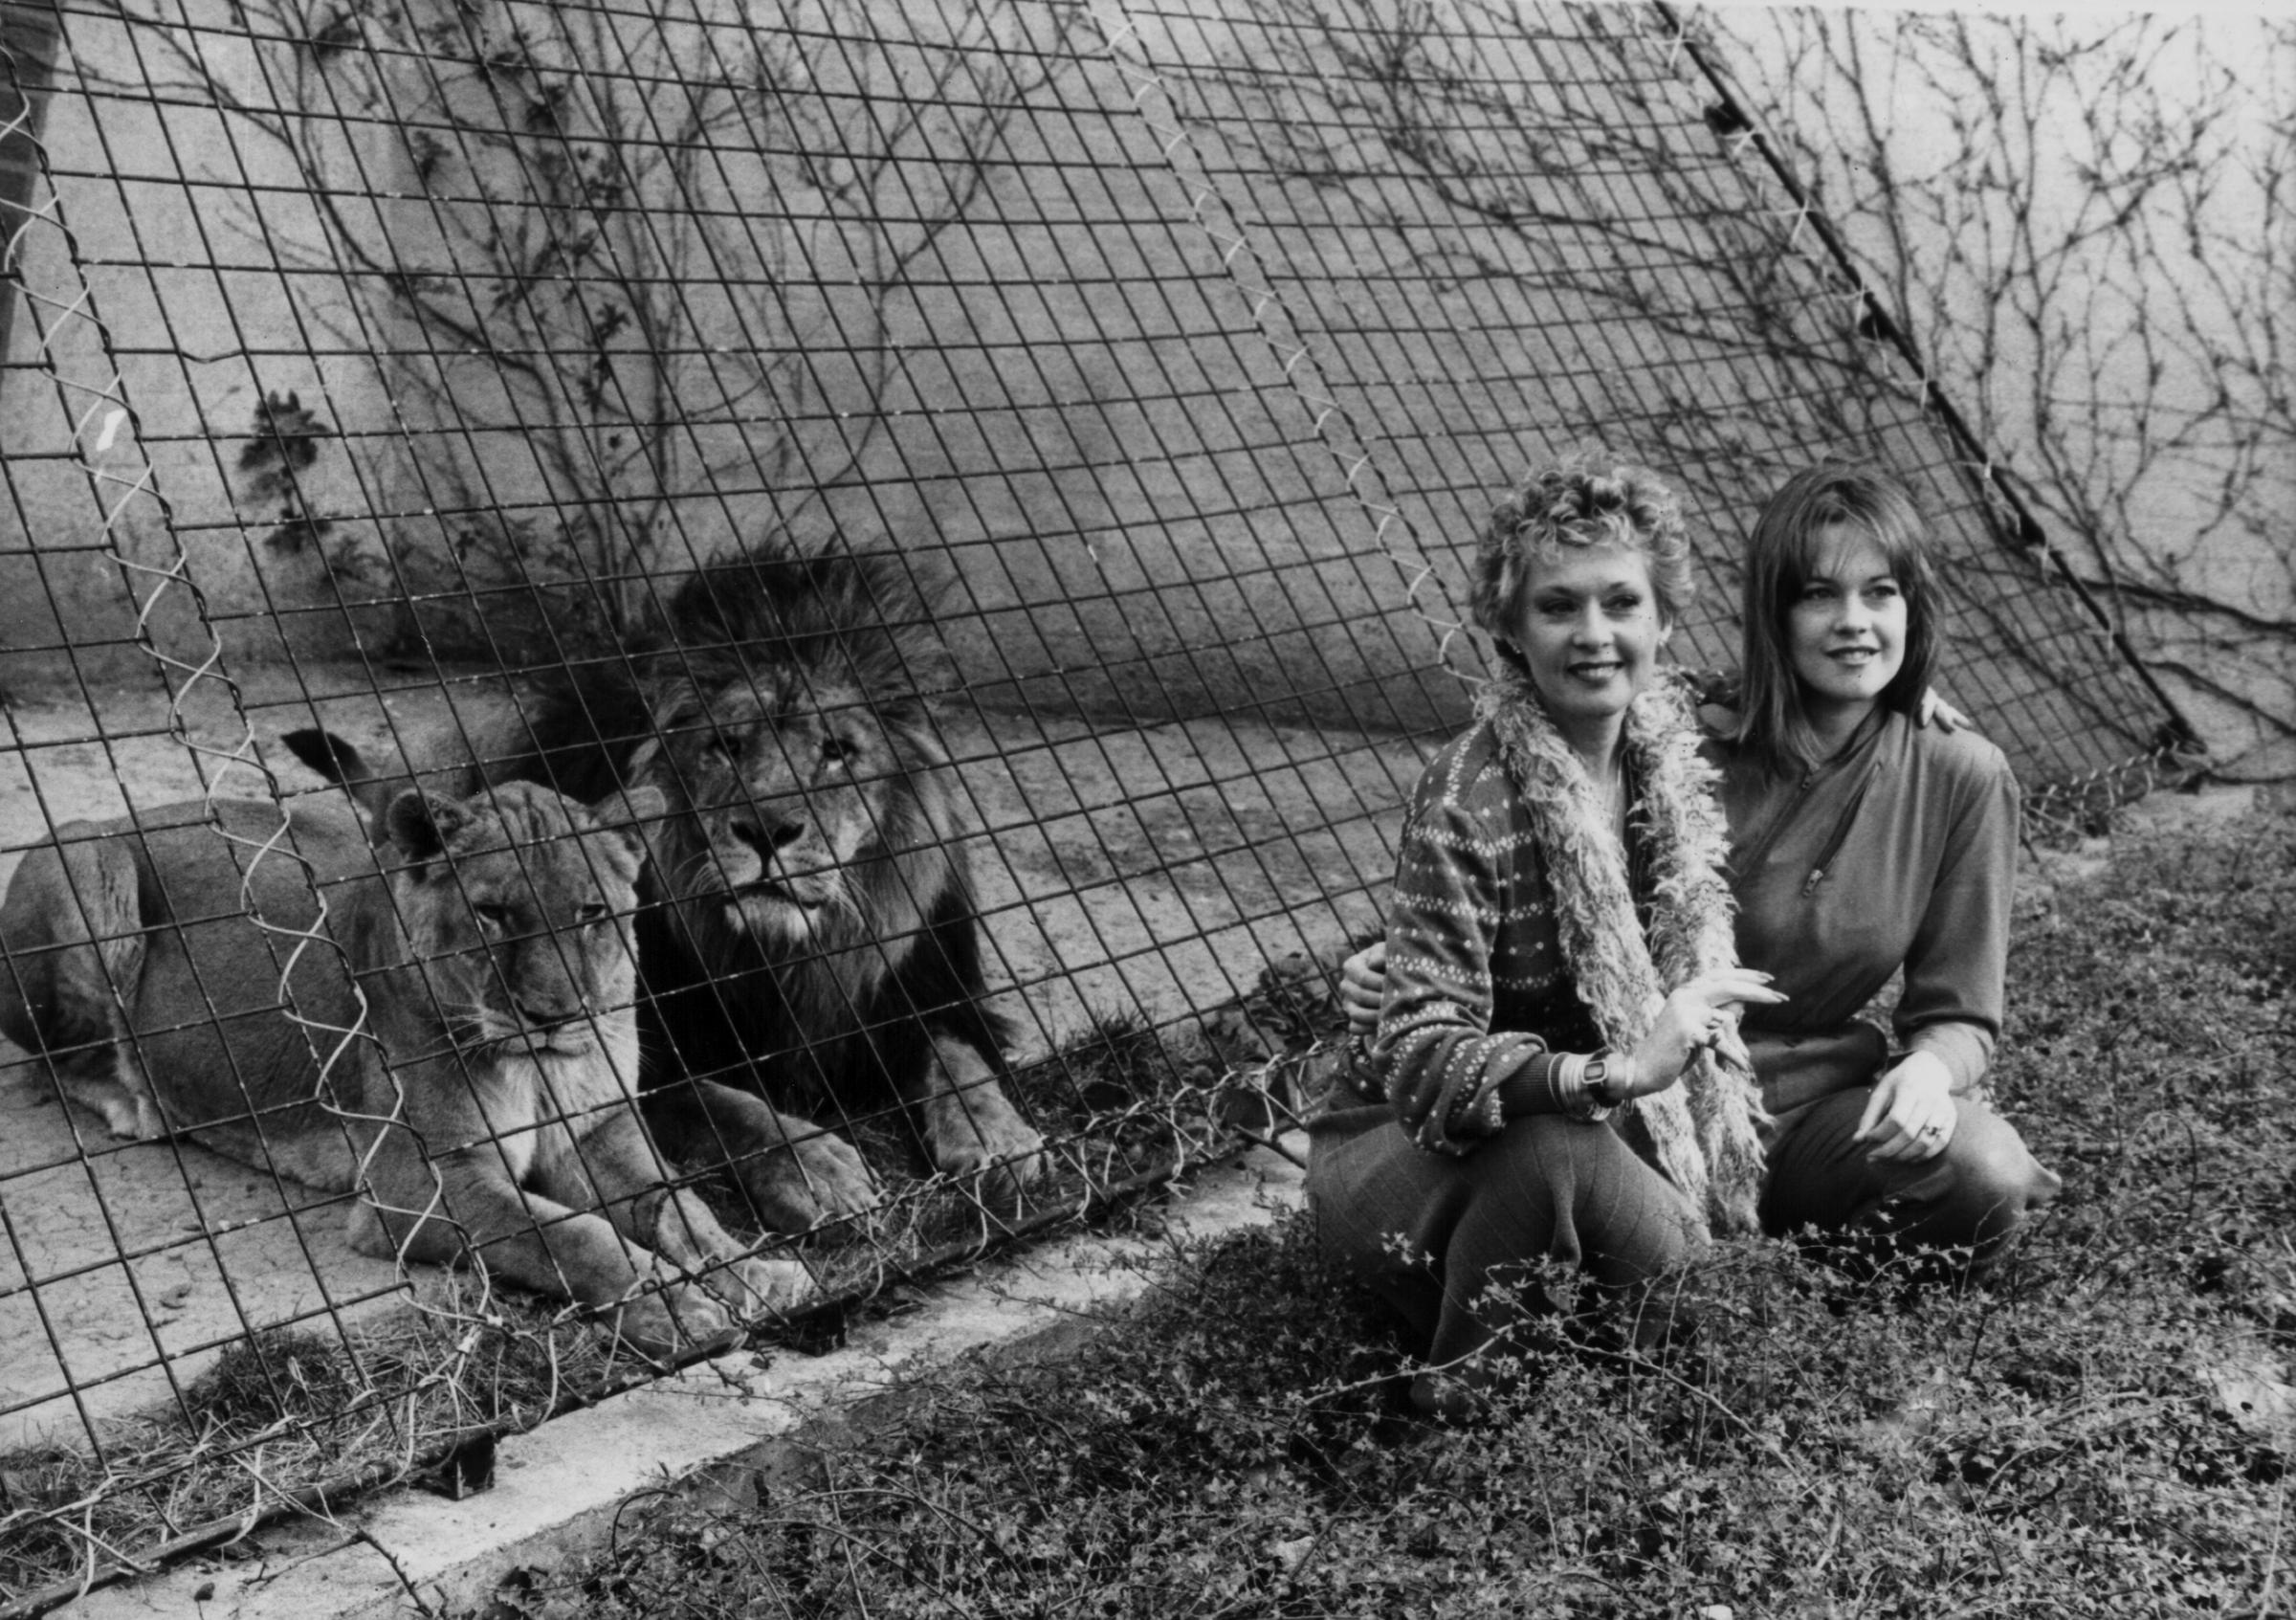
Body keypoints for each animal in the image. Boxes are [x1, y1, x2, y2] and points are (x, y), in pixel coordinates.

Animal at [0, 776, 812, 1360]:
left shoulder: (598, 1133)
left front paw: (755, 1271)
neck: (537, 1067)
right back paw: (141, 1102)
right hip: (90, 864)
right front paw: (676, 1305)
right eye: (492, 912)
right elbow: (575, 1236)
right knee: (54, 1057)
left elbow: (681, 1205)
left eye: (589, 913)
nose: (551, 1014)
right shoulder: (422, 1185)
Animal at [282, 537, 1047, 1232]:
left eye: (837, 751)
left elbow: (955, 1056)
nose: (767, 831)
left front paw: (997, 1135)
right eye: (726, 747)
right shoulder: (640, 1052)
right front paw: (816, 1168)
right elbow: (730, 1104)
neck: (776, 958)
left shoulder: (920, 991)